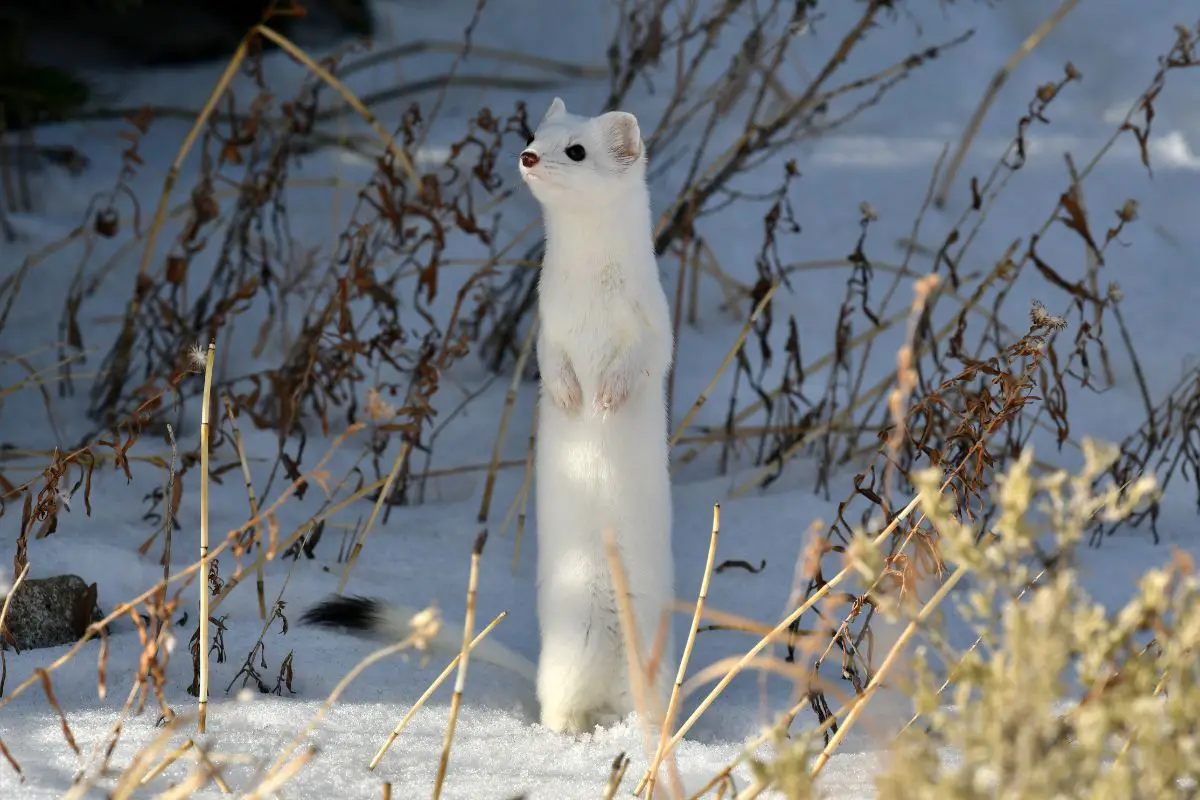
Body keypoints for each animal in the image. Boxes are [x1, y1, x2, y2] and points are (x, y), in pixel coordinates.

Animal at [300, 97, 676, 734]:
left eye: (575, 149)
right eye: (533, 135)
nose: (527, 157)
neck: (590, 301)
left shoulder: (652, 323)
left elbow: (643, 364)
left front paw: (606, 397)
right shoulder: (546, 327)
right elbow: (554, 365)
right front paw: (573, 397)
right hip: (567, 653)